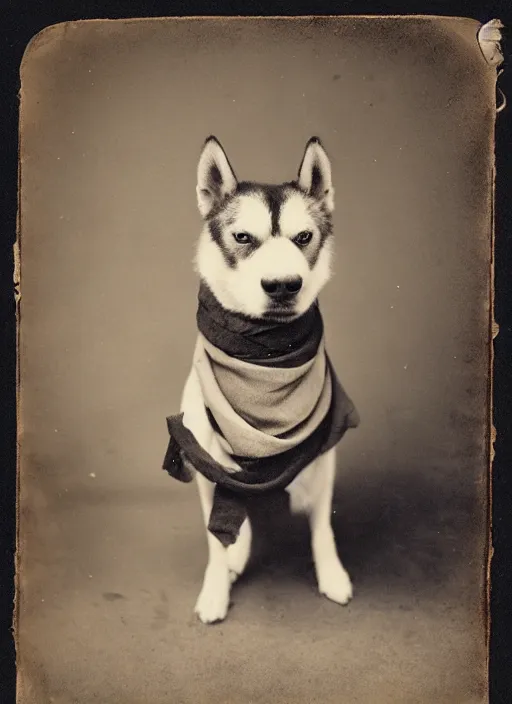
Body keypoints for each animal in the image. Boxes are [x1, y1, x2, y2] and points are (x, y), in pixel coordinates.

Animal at [172, 136, 356, 620]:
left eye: (304, 237)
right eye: (243, 237)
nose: (283, 285)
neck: (265, 359)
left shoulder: (323, 459)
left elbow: (322, 528)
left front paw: (331, 574)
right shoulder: (206, 460)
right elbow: (217, 537)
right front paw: (216, 588)